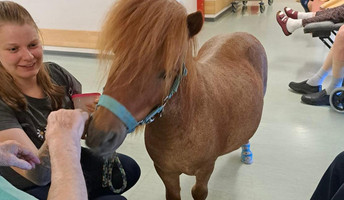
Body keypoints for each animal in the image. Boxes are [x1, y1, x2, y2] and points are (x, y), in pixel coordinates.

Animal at [84, 0, 268, 200]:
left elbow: (199, 191)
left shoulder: (205, 171)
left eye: (165, 72)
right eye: (117, 54)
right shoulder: (166, 172)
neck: (185, 122)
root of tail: (242, 34)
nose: (98, 135)